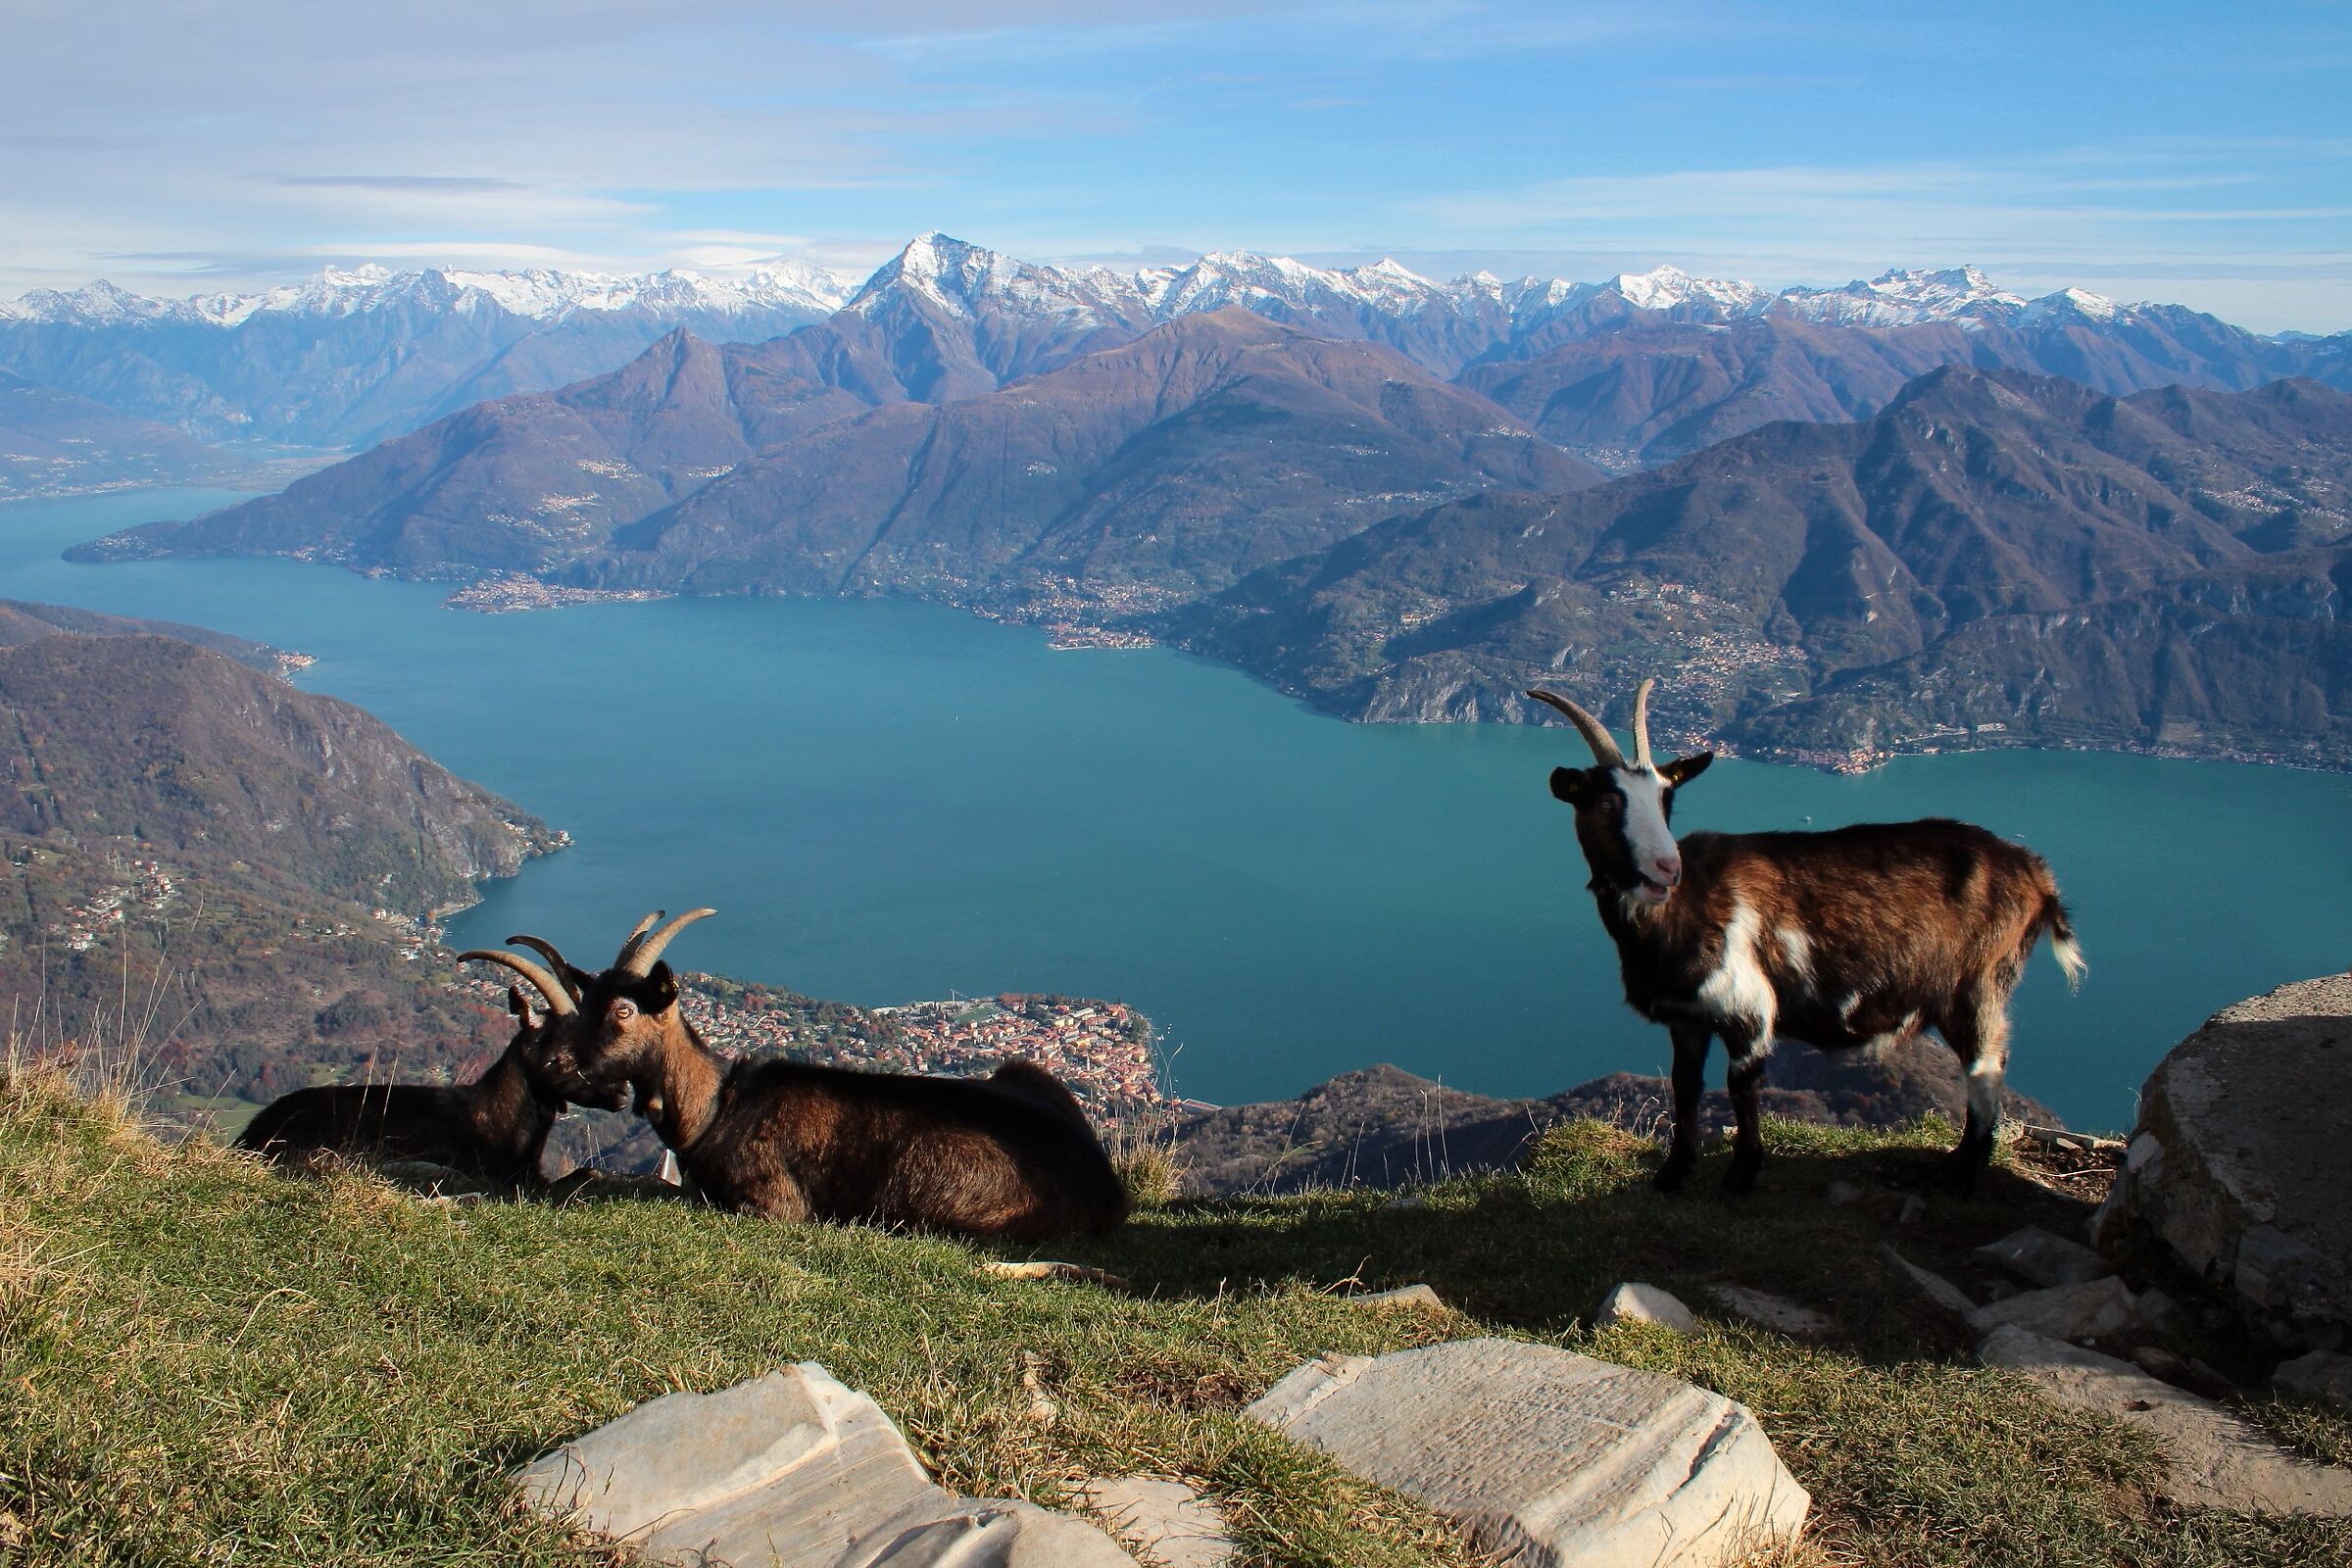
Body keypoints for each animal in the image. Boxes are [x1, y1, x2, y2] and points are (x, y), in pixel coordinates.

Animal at [463, 911, 1132, 1241]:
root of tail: (1105, 1186)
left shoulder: (772, 1203)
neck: (717, 1109)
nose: (562, 1064)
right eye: (590, 998)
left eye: (624, 1011)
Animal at [1527, 679, 2085, 1194]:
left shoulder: (1750, 1010)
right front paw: (1673, 1174)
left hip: (1978, 985)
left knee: (1986, 1066)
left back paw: (1961, 1176)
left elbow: (1741, 1087)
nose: (1667, 867)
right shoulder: (1687, 1019)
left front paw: (1742, 1175)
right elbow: (1685, 1087)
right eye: (1605, 803)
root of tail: (2033, 872)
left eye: (1667, 797)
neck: (1685, 910)